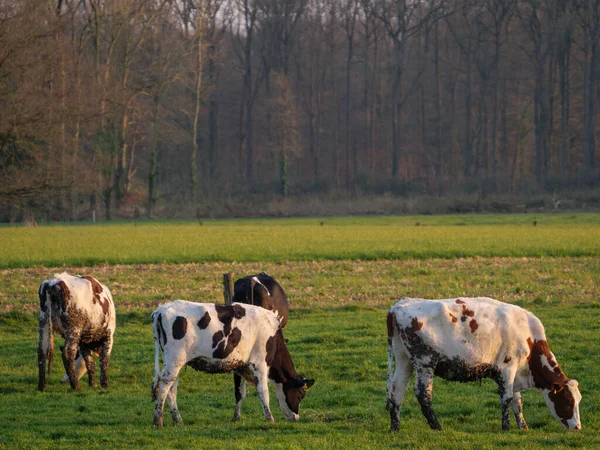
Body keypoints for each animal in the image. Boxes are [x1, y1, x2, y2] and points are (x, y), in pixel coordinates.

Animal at [151, 300, 314, 428]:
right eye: (301, 395)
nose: (295, 418)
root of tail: (161, 309)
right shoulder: (260, 364)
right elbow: (263, 393)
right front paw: (269, 418)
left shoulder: (239, 366)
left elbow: (240, 393)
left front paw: (236, 418)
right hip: (174, 361)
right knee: (165, 387)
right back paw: (158, 420)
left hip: (174, 363)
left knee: (171, 390)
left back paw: (177, 420)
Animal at [384, 298, 580, 430]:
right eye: (569, 400)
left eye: (579, 400)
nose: (578, 427)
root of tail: (399, 306)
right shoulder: (507, 367)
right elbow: (507, 399)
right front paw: (506, 427)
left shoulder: (514, 371)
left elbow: (517, 400)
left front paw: (523, 426)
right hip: (425, 362)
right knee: (423, 394)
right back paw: (436, 426)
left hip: (403, 360)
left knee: (397, 390)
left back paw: (395, 427)